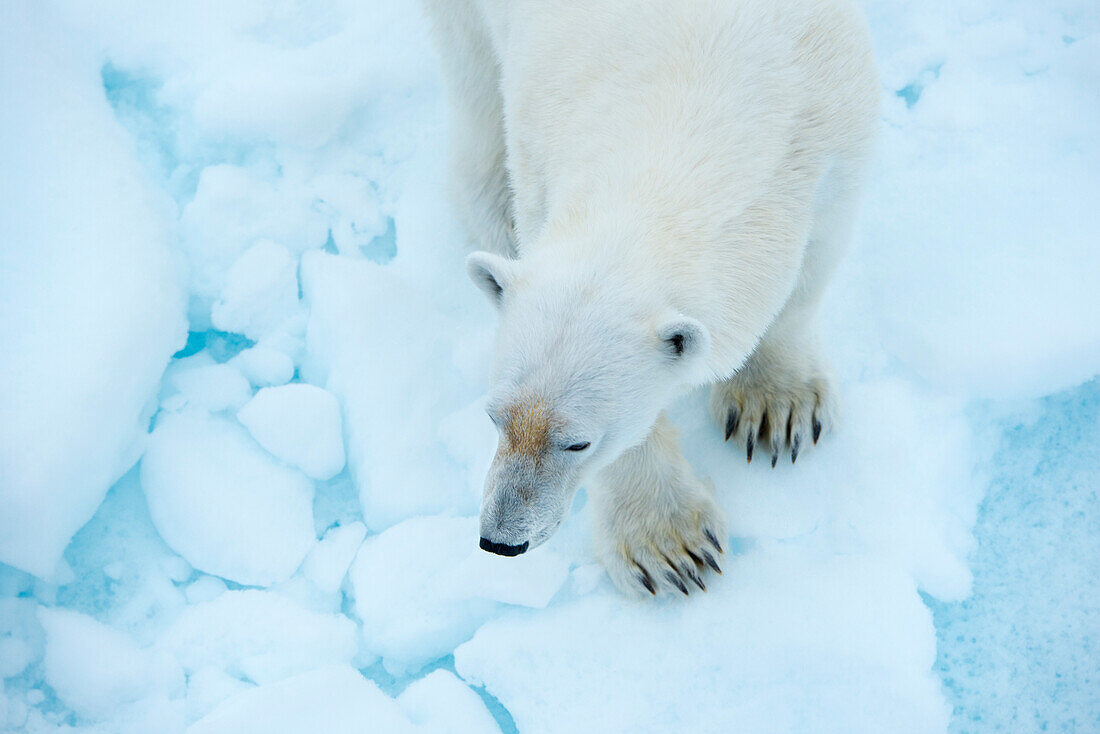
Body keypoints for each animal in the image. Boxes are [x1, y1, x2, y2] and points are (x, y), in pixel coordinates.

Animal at [424, 0, 880, 598]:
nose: (501, 540)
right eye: (496, 418)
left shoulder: (832, 122)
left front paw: (778, 406)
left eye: (577, 443)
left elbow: (812, 265)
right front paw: (669, 545)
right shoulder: (539, 141)